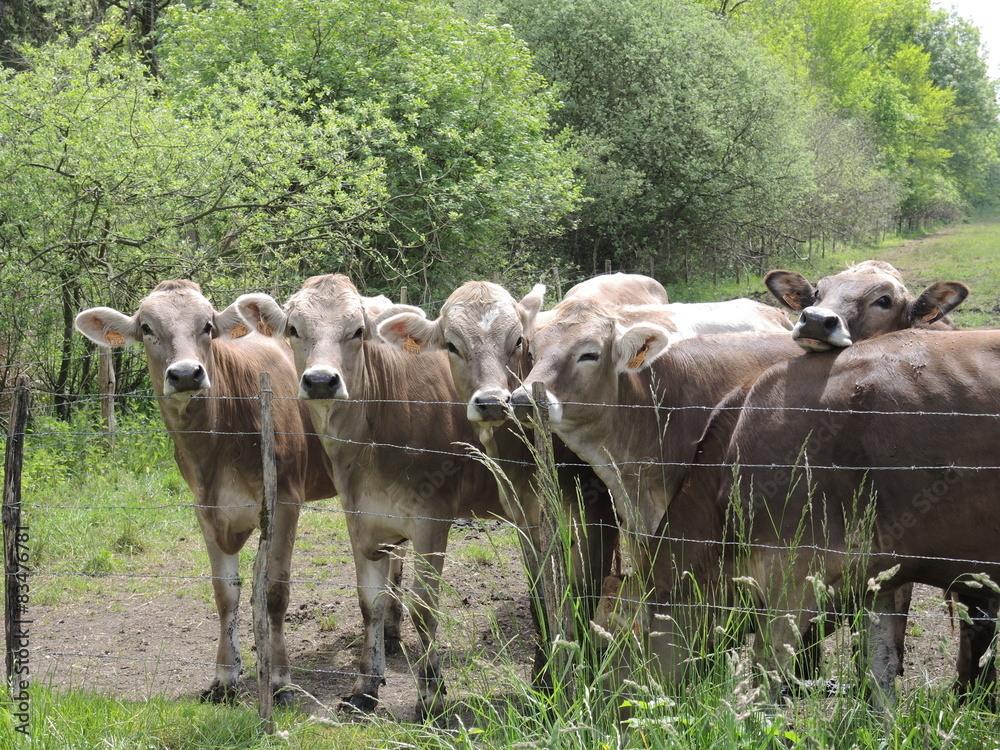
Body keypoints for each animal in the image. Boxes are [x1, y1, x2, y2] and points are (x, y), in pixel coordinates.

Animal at [75, 280, 338, 704]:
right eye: (146, 328)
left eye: (208, 326)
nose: (185, 374)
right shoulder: (205, 507)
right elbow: (224, 593)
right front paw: (225, 677)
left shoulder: (285, 500)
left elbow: (275, 591)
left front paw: (280, 681)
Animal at [236, 274, 509, 719]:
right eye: (294, 329)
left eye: (358, 331)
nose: (320, 381)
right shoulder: (361, 519)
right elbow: (371, 602)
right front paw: (366, 688)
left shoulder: (433, 519)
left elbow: (424, 607)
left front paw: (431, 698)